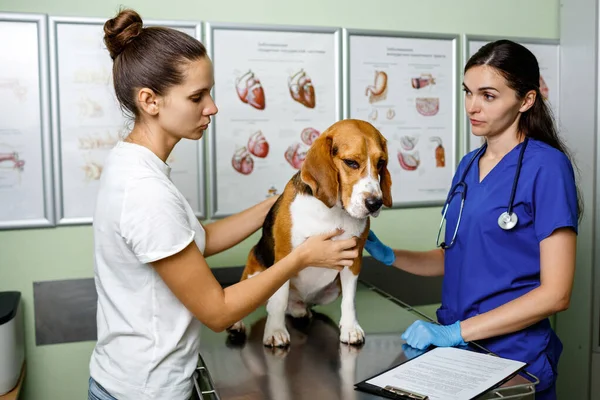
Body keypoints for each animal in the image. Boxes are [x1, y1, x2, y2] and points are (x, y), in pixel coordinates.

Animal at [227, 119, 392, 346]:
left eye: (381, 163)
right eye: (351, 162)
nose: (375, 203)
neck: (333, 211)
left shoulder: (353, 258)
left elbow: (349, 300)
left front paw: (350, 328)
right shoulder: (284, 257)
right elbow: (278, 300)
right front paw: (275, 331)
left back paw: (298, 309)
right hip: (256, 273)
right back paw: (238, 323)